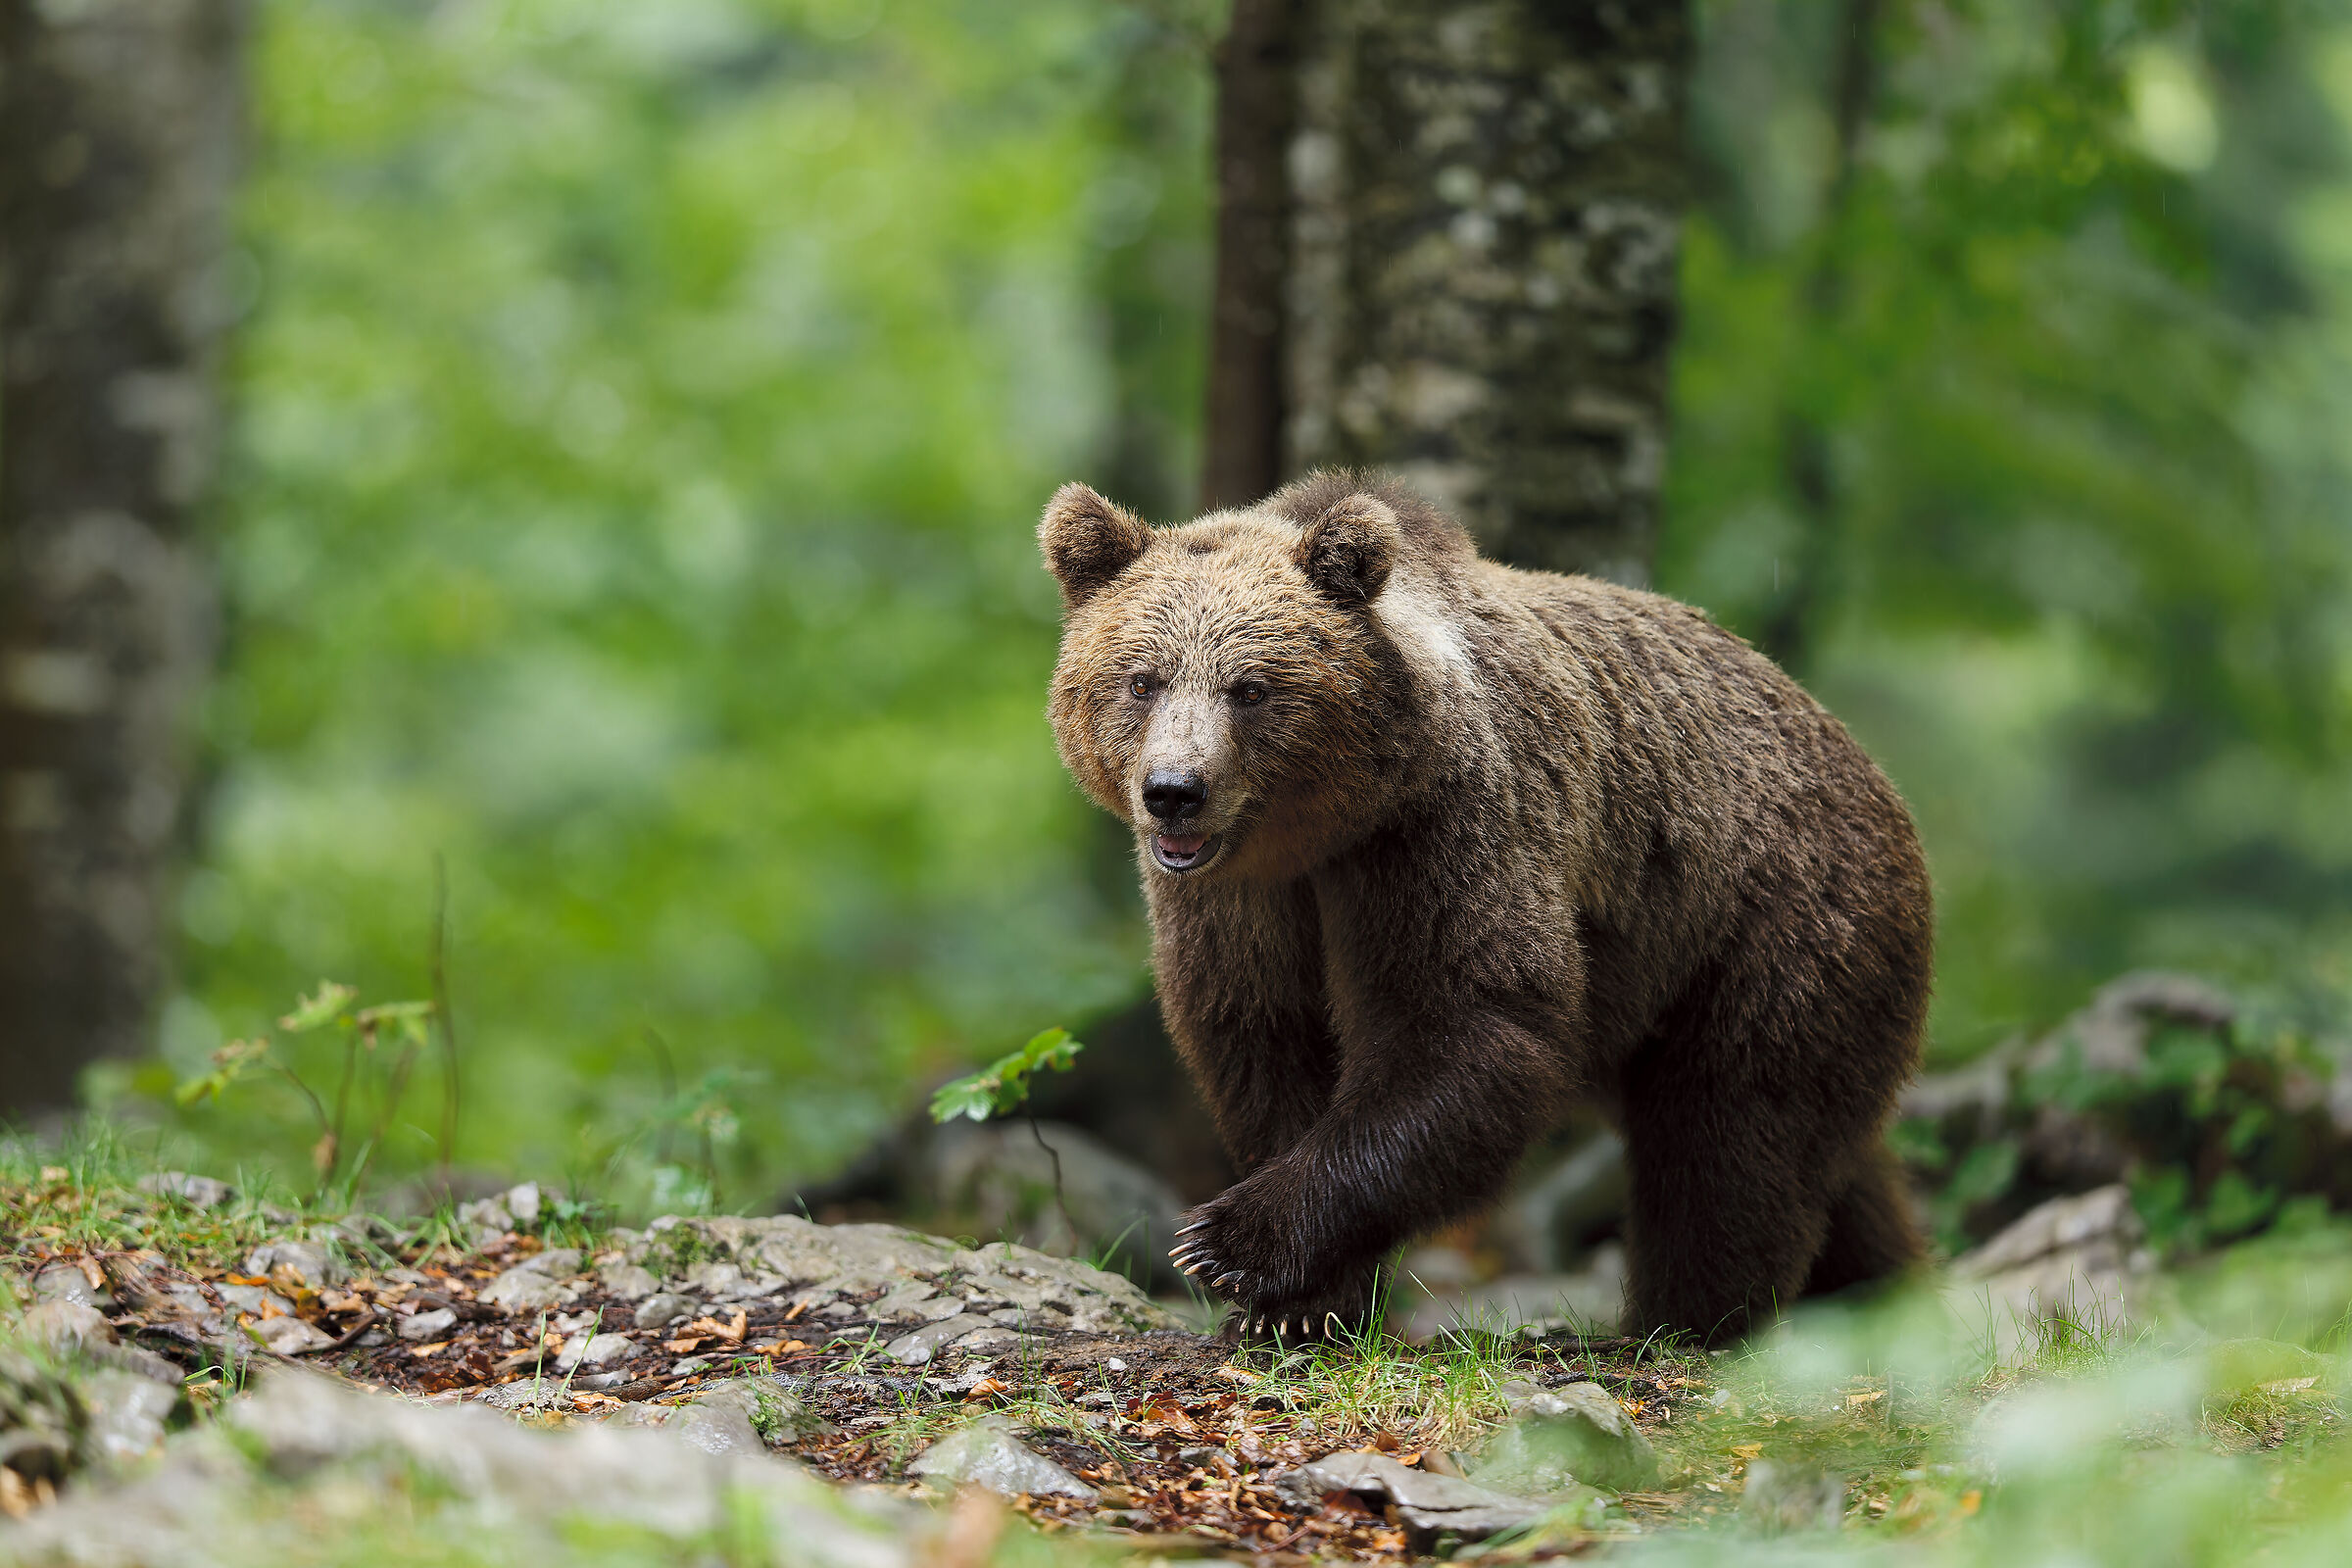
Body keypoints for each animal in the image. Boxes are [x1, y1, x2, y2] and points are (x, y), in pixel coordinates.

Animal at [1038, 471, 1933, 1344]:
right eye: (1141, 680)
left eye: (1250, 688)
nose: (1174, 792)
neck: (1319, 833)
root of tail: (1870, 772)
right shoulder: (1237, 899)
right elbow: (1263, 1038)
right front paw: (1303, 1304)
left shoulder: (1445, 827)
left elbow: (1472, 1022)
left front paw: (1231, 1242)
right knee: (1824, 1152)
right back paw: (1880, 1283)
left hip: (1769, 919)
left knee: (1731, 1133)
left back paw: (1688, 1320)